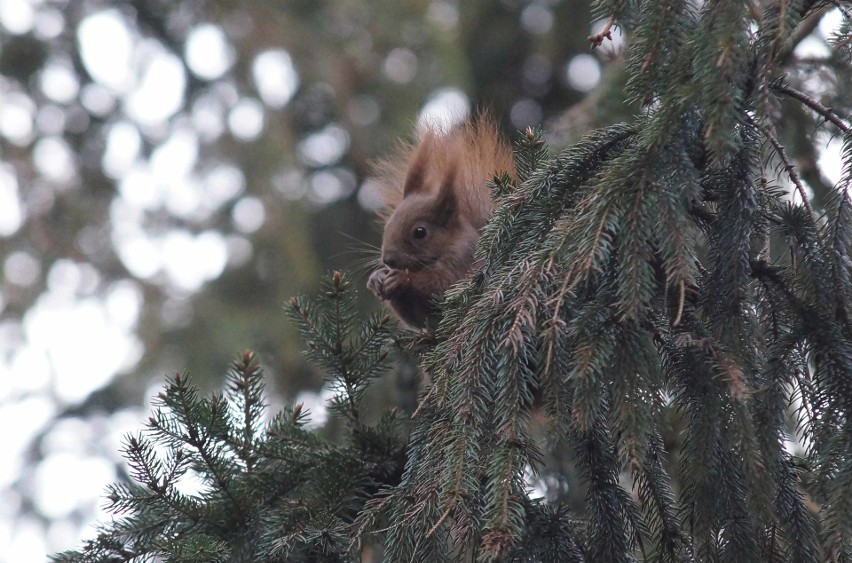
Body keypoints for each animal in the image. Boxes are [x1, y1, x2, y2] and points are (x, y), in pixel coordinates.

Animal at [364, 113, 512, 330]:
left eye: (420, 232)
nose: (388, 260)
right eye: (388, 224)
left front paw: (402, 279)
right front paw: (377, 278)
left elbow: (441, 286)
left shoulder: (462, 260)